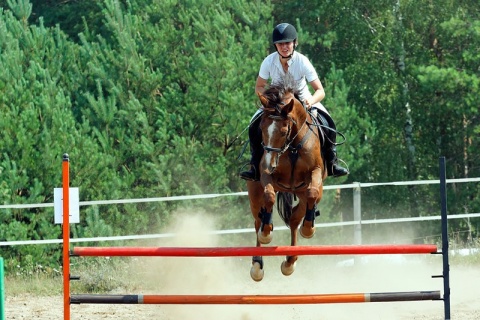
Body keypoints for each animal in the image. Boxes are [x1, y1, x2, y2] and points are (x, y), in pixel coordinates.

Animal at [246, 79, 328, 282]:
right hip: (254, 193)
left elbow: (312, 192)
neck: (292, 147)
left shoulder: (316, 173)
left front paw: (308, 229)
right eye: (261, 129)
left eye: (283, 131)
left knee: (294, 218)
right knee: (257, 220)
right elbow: (269, 196)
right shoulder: (265, 175)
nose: (269, 162)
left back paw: (291, 260)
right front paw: (267, 232)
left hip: (304, 193)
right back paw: (257, 264)